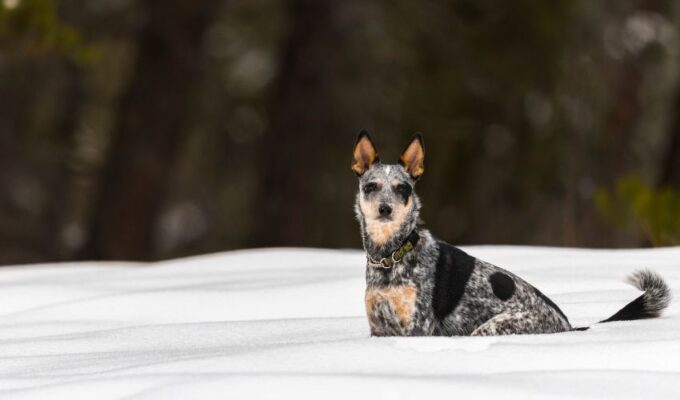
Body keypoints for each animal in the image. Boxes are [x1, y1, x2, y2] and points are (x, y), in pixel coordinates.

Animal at [354, 130, 672, 334]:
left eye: (402, 189)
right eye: (371, 187)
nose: (385, 209)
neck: (390, 256)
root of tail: (567, 326)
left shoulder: (418, 327)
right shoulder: (378, 328)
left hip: (491, 327)